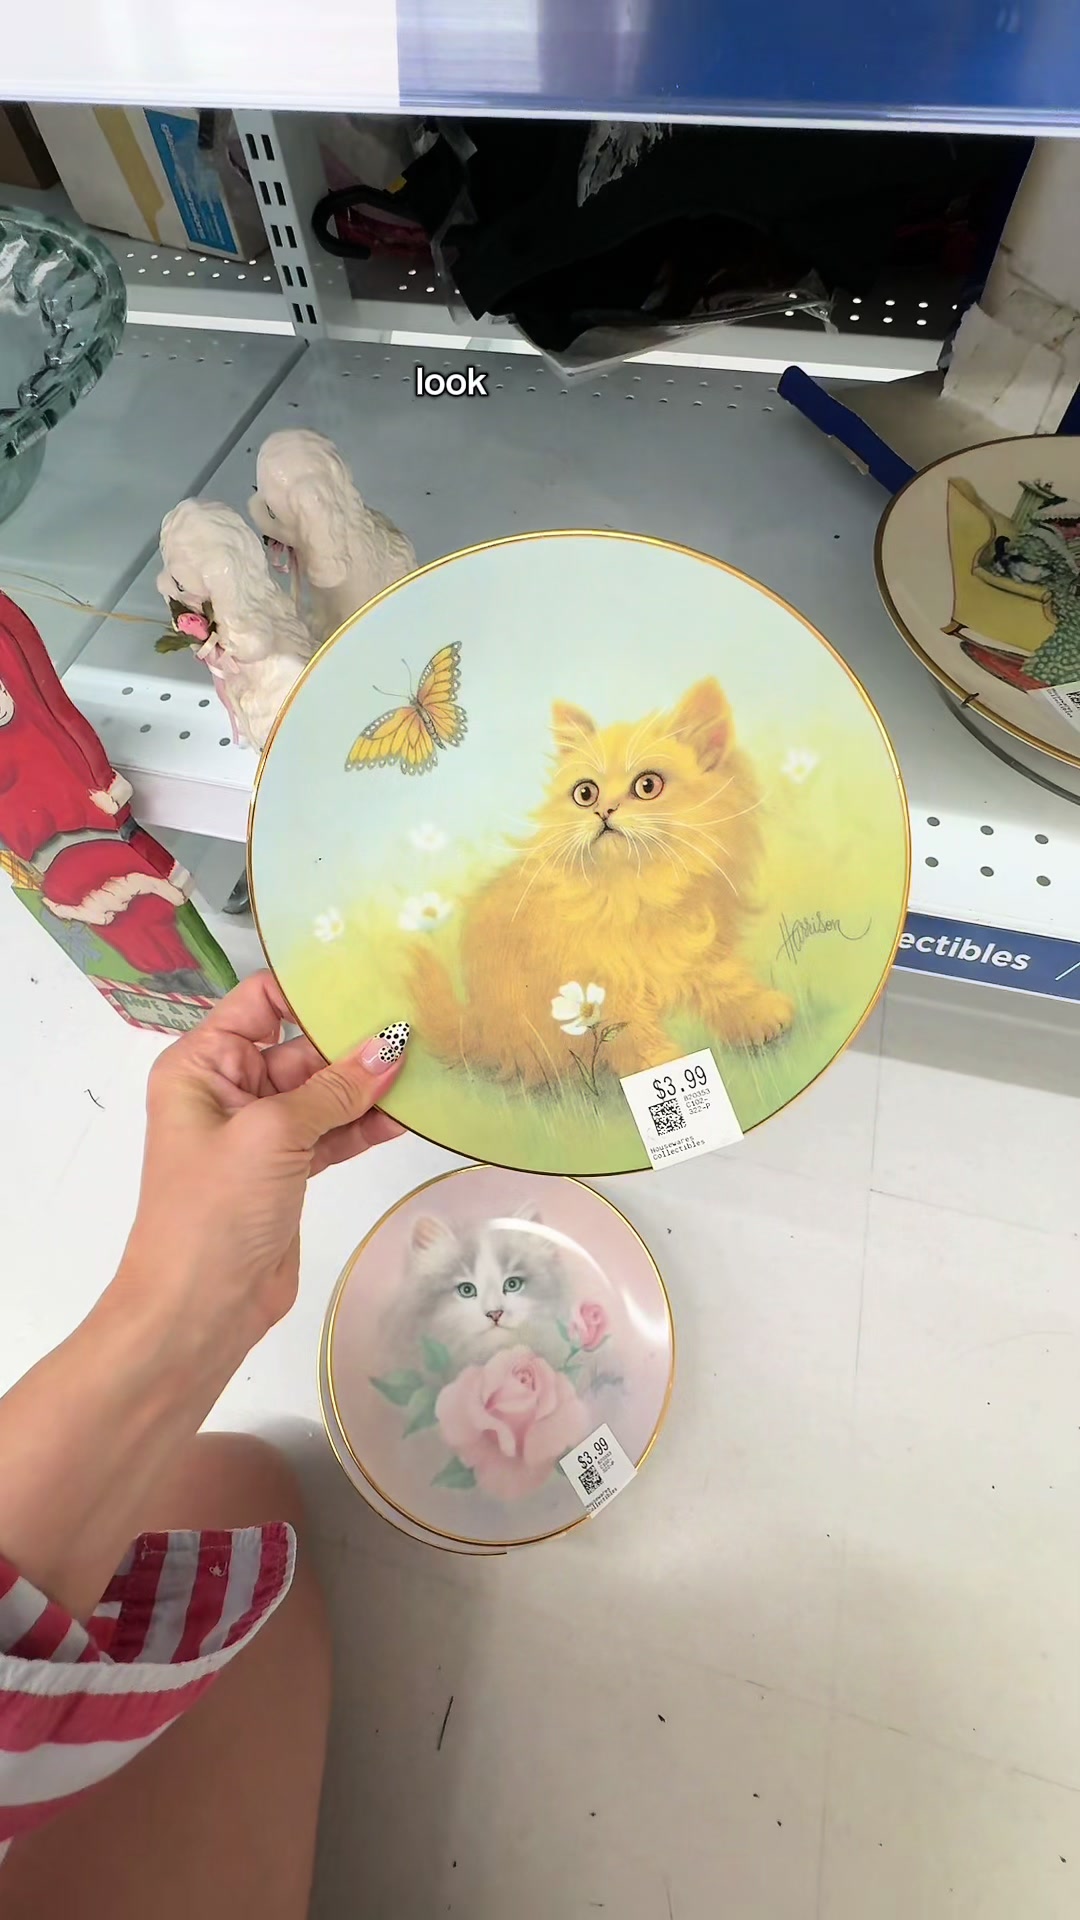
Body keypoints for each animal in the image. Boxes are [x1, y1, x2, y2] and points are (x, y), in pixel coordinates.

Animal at [410, 676, 792, 1087]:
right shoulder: (601, 980)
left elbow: (724, 978)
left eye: (647, 786)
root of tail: (478, 1029)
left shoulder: (700, 941)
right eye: (585, 793)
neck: (637, 890)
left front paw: (757, 1013)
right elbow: (630, 1031)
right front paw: (660, 1067)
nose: (602, 811)